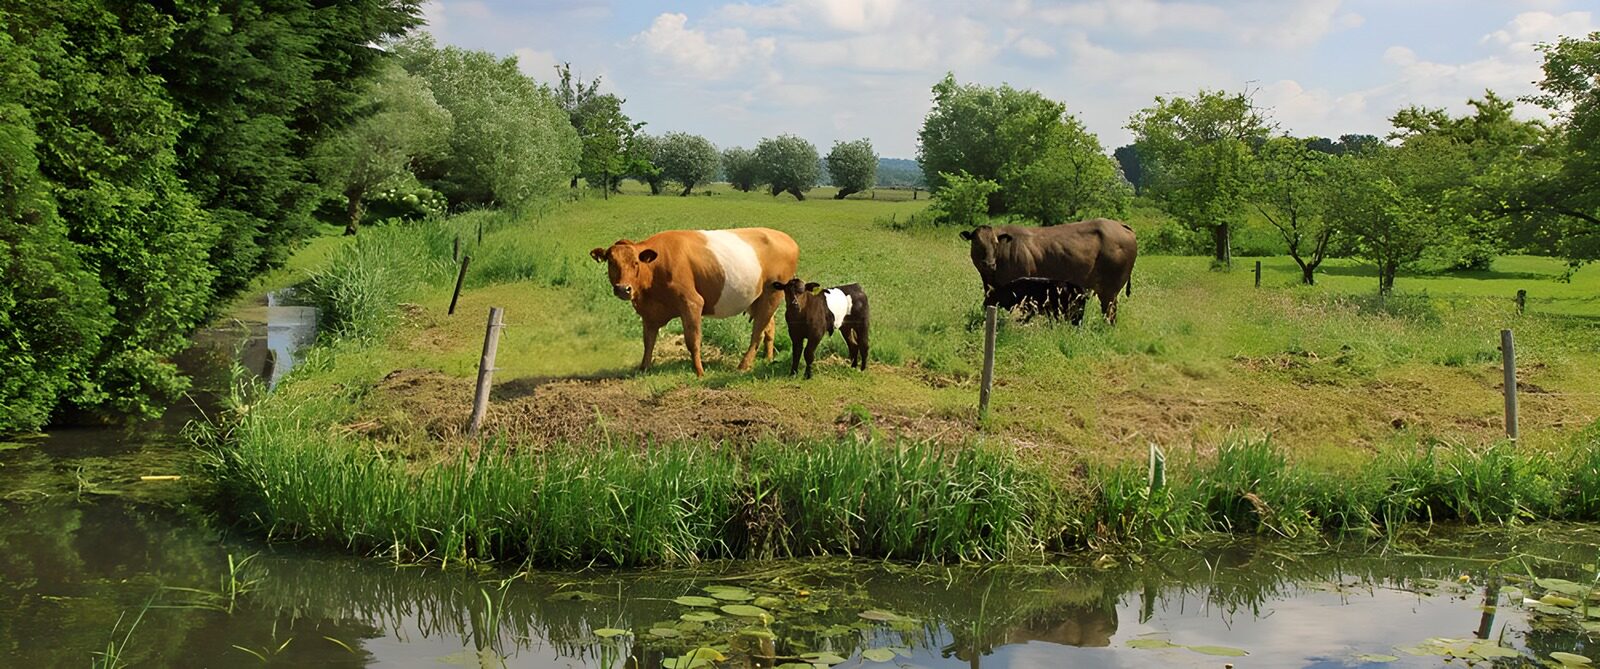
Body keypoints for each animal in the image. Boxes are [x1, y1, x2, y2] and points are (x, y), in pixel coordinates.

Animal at [591, 228, 799, 377]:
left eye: (636, 263)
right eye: (611, 263)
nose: (623, 289)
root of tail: (785, 237)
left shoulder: (691, 302)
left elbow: (693, 340)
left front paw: (699, 372)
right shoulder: (649, 312)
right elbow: (648, 341)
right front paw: (643, 369)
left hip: (772, 295)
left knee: (758, 331)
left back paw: (743, 365)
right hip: (758, 299)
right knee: (769, 327)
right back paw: (768, 359)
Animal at [960, 218, 1137, 323]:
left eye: (995, 244)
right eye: (977, 243)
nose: (989, 264)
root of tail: (1122, 226)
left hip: (1109, 291)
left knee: (1110, 314)